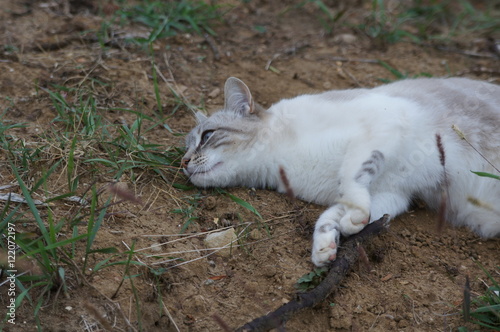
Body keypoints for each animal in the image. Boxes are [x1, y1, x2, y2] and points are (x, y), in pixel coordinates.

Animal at [182, 76, 500, 268]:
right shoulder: (394, 193)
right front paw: (326, 246)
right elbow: (334, 215)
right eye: (185, 147)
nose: (183, 163)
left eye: (207, 136)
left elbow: (351, 181)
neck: (279, 159)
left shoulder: (380, 129)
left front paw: (348, 224)